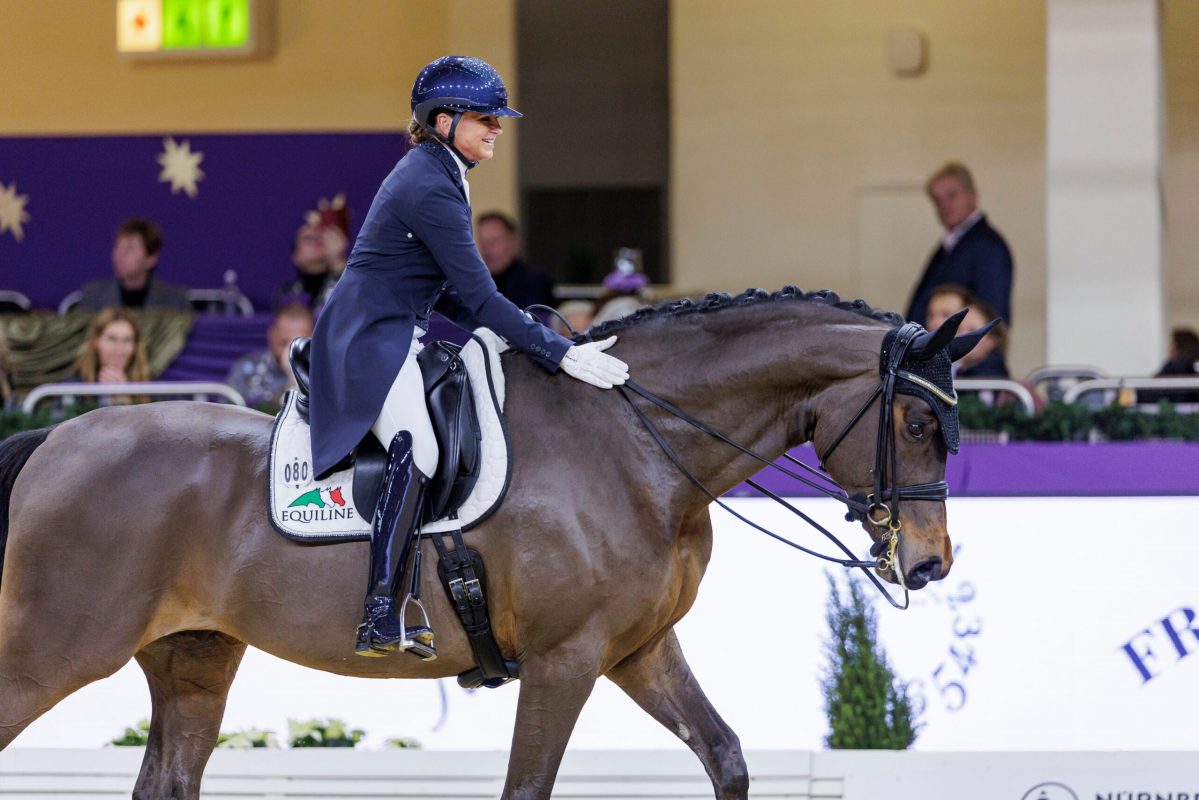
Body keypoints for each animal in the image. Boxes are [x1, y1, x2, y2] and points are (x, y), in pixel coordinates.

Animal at [0, 288, 972, 800]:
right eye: (919, 423)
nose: (927, 565)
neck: (635, 442)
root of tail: (54, 437)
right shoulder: (564, 658)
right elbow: (525, 787)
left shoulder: (639, 649)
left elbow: (725, 757)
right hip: (54, 652)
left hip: (193, 660)